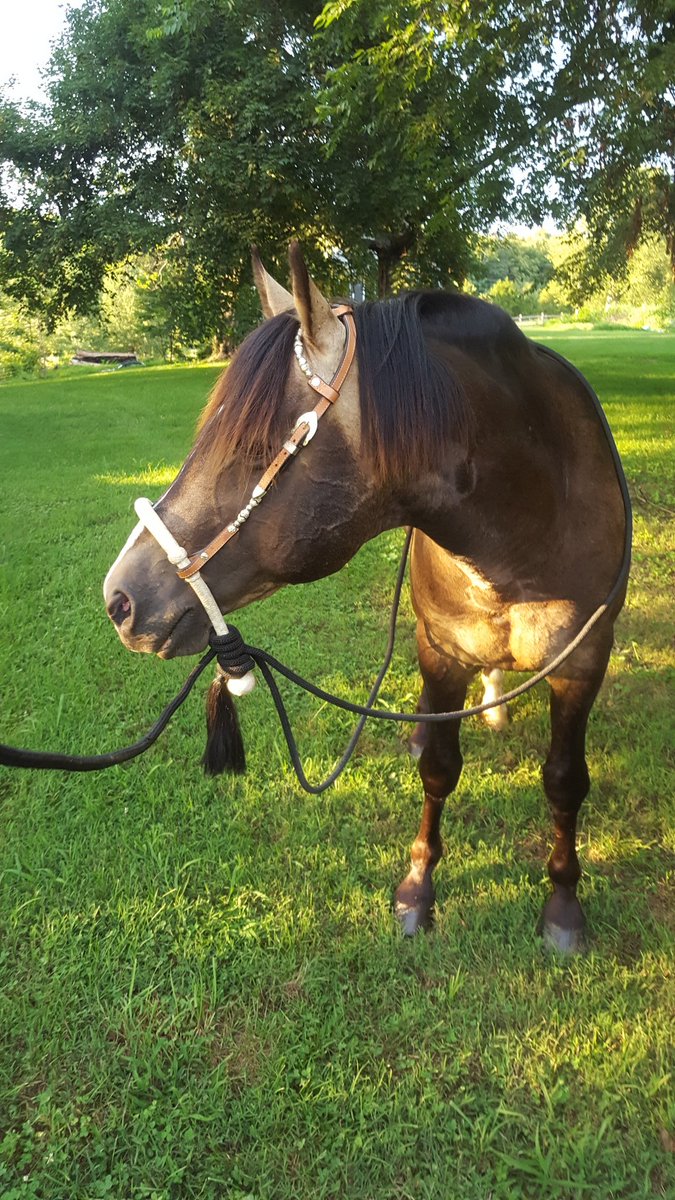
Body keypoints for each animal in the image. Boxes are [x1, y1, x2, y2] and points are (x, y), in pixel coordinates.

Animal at [104, 242, 628, 952]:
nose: (121, 598)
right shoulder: (441, 652)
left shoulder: (584, 663)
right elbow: (439, 768)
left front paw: (564, 906)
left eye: (250, 445)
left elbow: (565, 781)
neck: (531, 518)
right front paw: (418, 889)